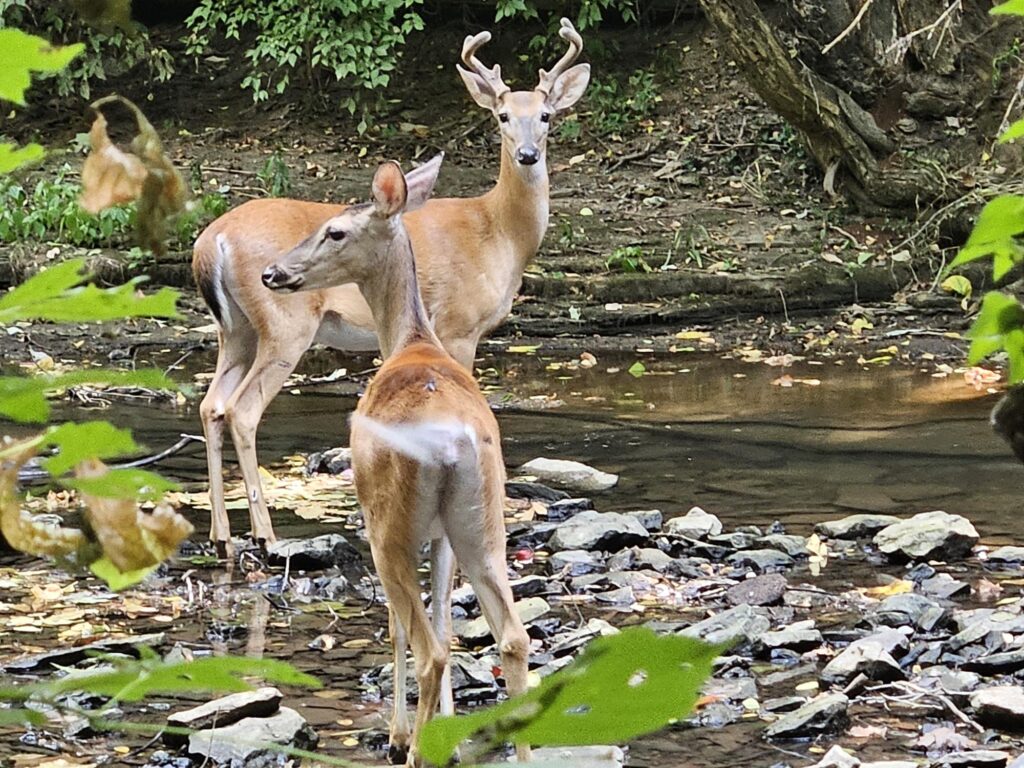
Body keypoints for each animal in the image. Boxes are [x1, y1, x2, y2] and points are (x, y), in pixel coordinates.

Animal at [193, 18, 593, 552]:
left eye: (547, 115)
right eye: (503, 116)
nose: (527, 155)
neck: (498, 232)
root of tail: (209, 242)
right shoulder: (460, 325)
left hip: (236, 328)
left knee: (211, 405)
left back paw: (222, 534)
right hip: (284, 321)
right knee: (242, 410)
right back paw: (265, 534)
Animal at [264, 157, 532, 768]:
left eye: (335, 231)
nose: (273, 272)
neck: (409, 339)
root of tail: (454, 445)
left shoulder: (382, 519)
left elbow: (400, 629)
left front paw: (401, 733)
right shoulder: (441, 536)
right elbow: (446, 615)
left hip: (389, 522)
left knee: (427, 644)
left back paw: (411, 751)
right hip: (483, 518)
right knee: (511, 636)